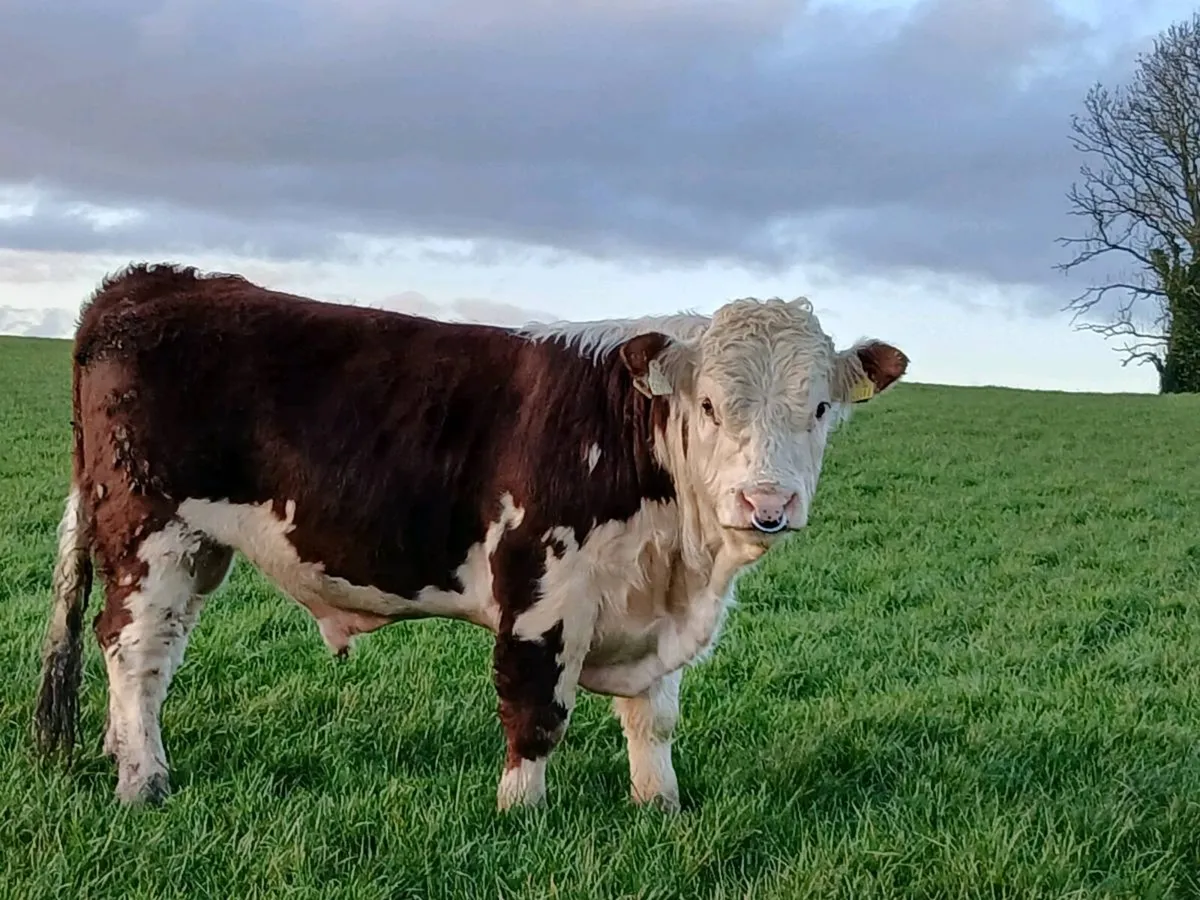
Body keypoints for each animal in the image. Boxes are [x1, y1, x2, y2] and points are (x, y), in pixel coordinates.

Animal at [33, 262, 907, 811]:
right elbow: (535, 709)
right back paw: (144, 781)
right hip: (149, 526)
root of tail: (150, 280)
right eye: (711, 407)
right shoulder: (541, 591)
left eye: (820, 408)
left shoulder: (655, 613)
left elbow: (652, 718)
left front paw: (660, 805)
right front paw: (521, 813)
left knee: (154, 654)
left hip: (194, 545)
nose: (768, 503)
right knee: (133, 649)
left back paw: (121, 752)